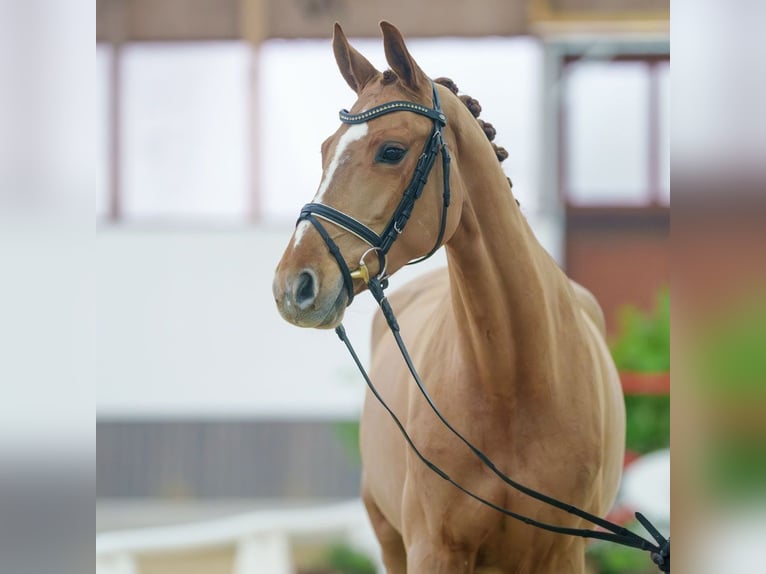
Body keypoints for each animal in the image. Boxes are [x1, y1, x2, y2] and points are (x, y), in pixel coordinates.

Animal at [272, 22, 628, 574]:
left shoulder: (563, 553)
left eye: (391, 151)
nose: (294, 285)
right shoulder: (432, 548)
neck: (512, 381)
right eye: (326, 149)